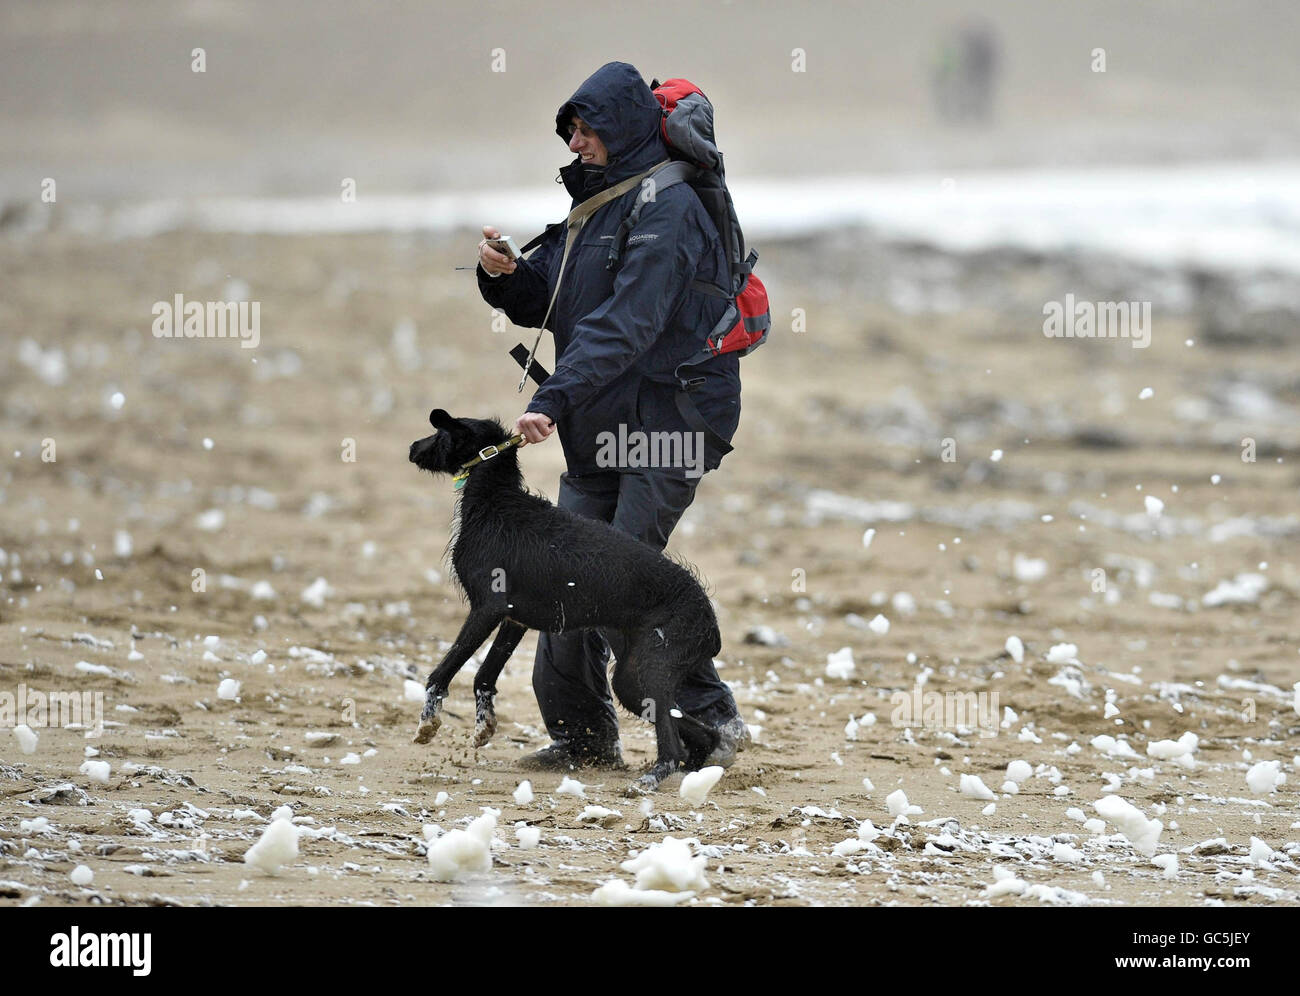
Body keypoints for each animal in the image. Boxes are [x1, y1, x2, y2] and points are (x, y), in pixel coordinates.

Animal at [408, 408, 722, 795]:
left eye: (439, 434)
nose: (411, 447)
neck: (495, 501)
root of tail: (711, 625)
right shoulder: (514, 619)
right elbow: (484, 675)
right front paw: (484, 725)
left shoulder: (487, 609)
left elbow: (443, 670)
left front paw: (428, 723)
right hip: (632, 681)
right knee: (703, 734)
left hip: (650, 671)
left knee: (672, 744)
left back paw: (651, 779)